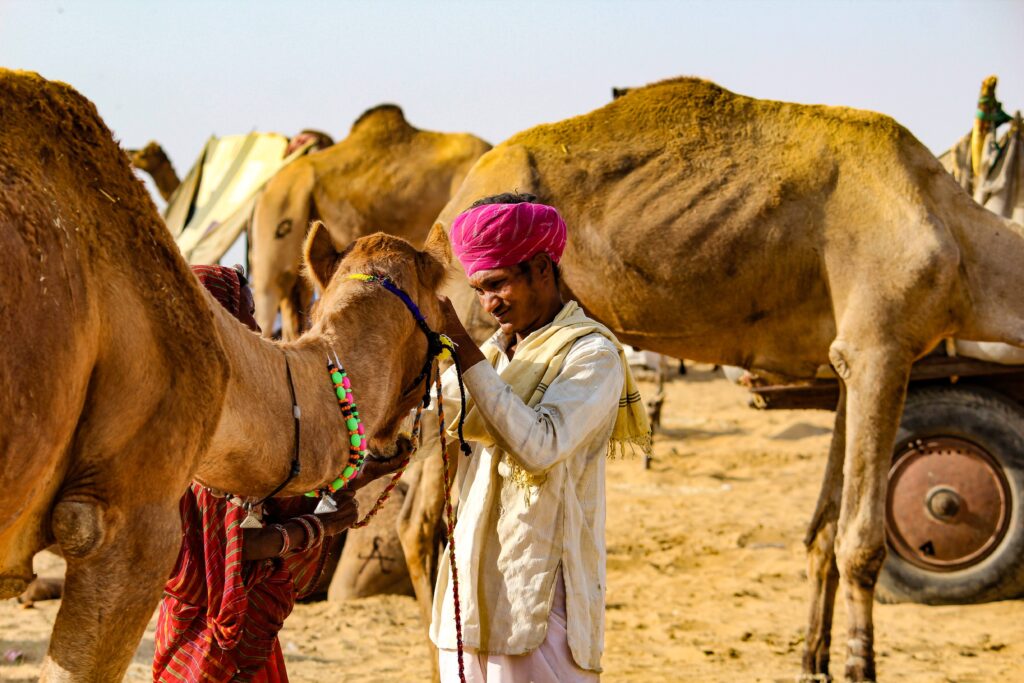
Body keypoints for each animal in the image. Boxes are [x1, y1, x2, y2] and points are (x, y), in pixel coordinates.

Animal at [430, 74, 1024, 679]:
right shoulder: (880, 343)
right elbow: (860, 541)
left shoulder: (846, 362)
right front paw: (860, 667)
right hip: (467, 311)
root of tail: (457, 200)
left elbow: (824, 531)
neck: (962, 243)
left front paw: (813, 660)